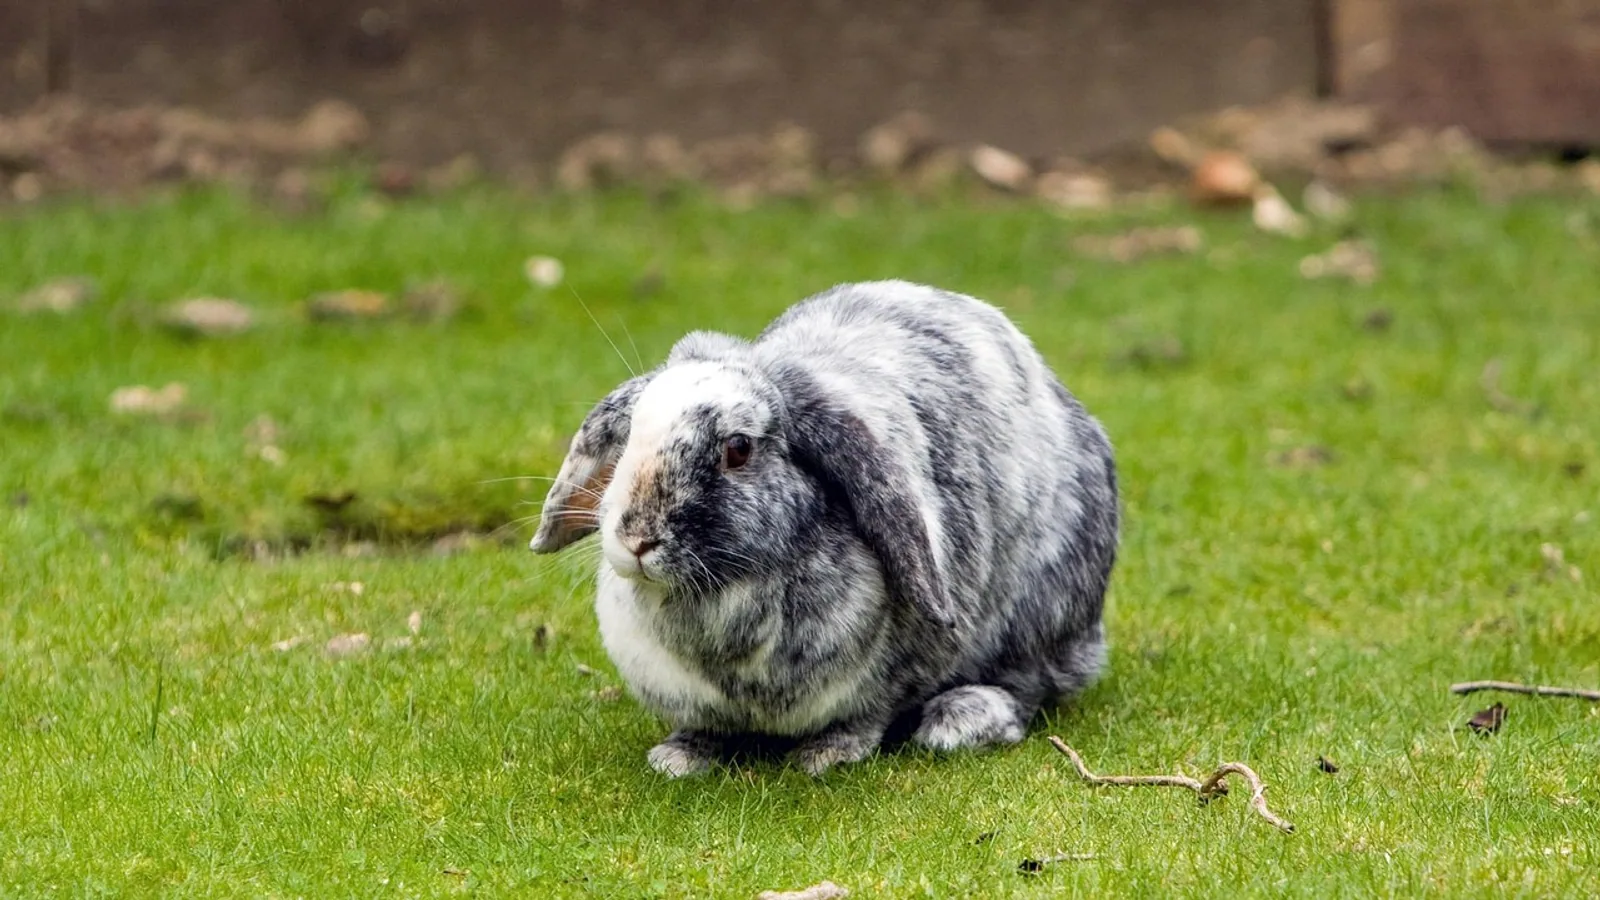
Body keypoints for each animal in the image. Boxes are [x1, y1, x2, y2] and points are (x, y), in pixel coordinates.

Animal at [531, 280, 1118, 777]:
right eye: (629, 436)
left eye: (738, 449)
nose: (636, 538)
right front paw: (680, 757)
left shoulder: (899, 667)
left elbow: (869, 713)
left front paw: (827, 754)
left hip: (1043, 612)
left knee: (1029, 684)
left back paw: (960, 719)